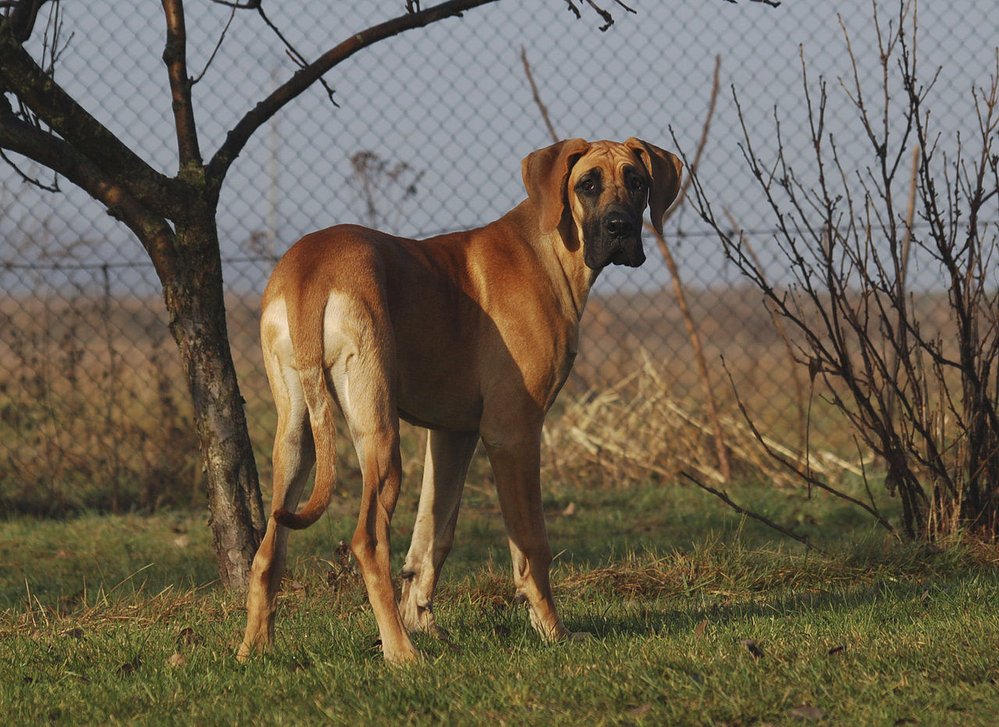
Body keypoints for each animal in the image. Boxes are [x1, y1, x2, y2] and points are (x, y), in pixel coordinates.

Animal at [238, 138, 684, 664]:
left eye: (637, 182)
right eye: (588, 184)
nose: (620, 228)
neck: (550, 246)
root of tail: (311, 266)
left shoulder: (453, 434)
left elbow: (432, 538)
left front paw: (423, 621)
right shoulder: (513, 433)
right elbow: (532, 544)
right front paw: (552, 630)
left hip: (297, 436)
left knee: (269, 549)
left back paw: (253, 650)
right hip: (379, 434)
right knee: (368, 541)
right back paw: (402, 654)